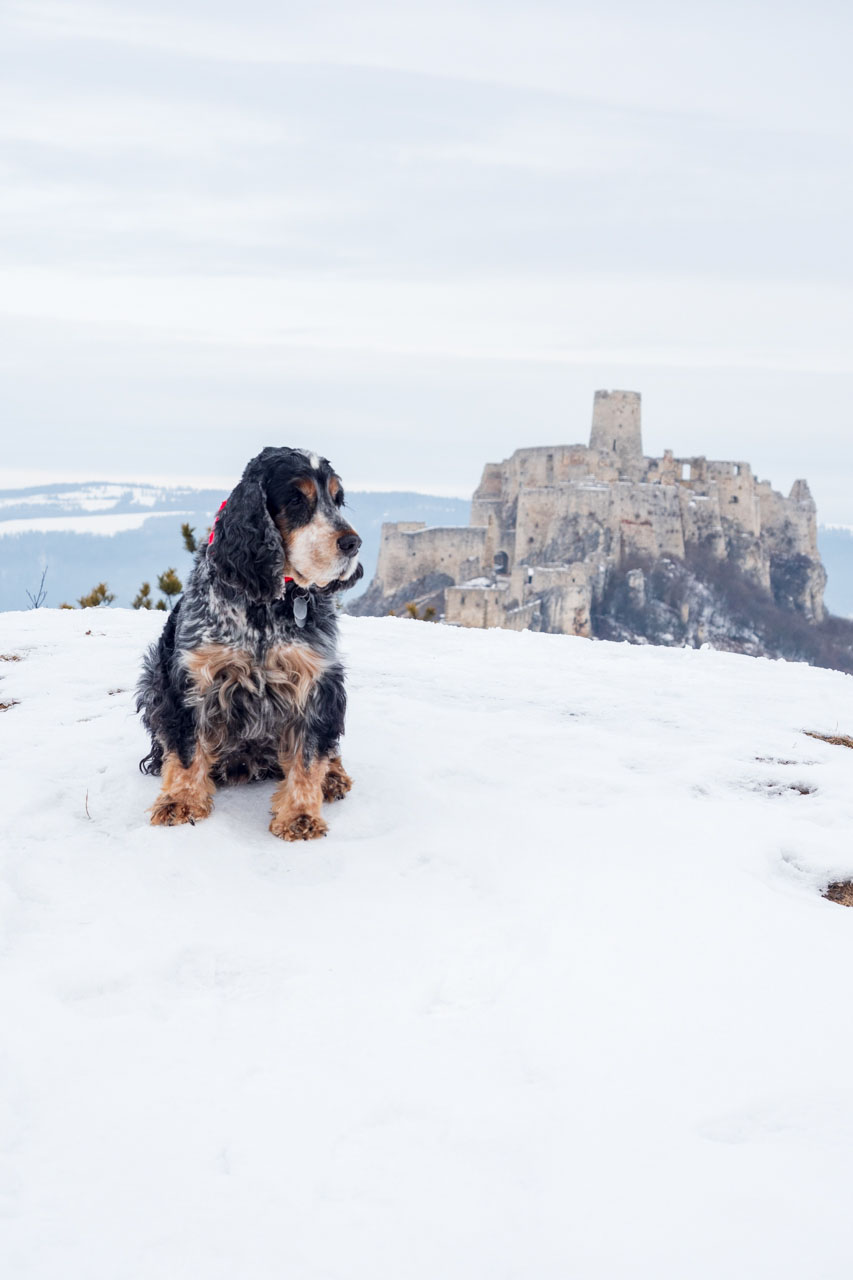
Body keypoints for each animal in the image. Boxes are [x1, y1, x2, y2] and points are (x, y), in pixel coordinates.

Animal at [134, 448, 361, 839]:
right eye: (296, 499)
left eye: (337, 499)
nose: (352, 543)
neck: (267, 603)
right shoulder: (191, 679)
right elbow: (186, 748)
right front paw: (180, 801)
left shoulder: (318, 681)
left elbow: (309, 755)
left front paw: (300, 815)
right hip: (152, 677)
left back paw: (333, 777)